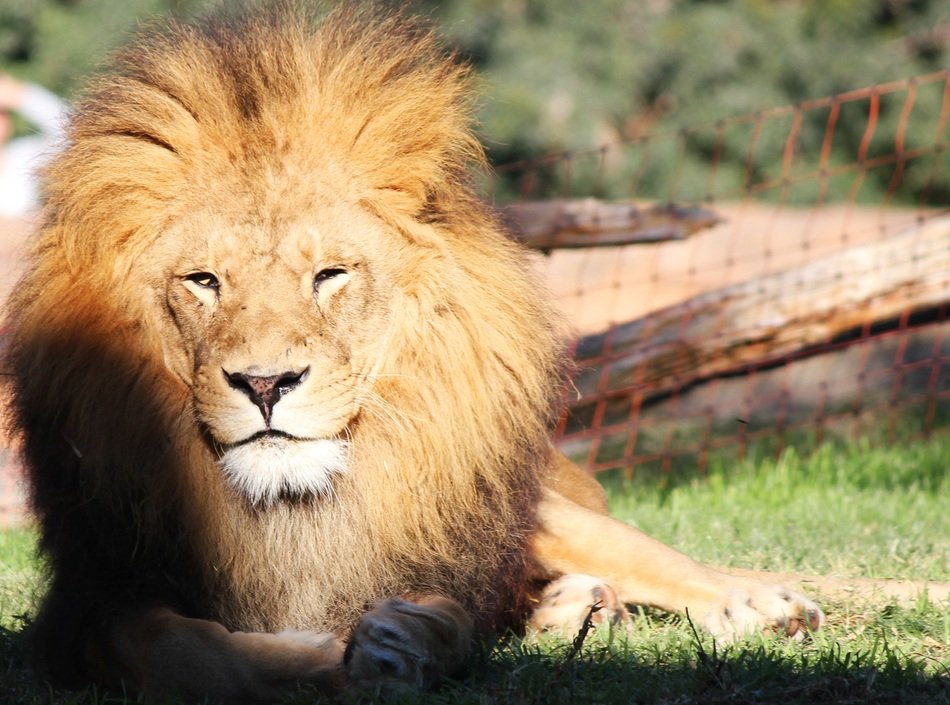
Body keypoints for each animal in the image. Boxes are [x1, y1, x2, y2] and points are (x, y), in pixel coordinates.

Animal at [4, 5, 823, 702]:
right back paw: (575, 607)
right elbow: (187, 654)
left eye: (330, 274)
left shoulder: (440, 557)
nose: (266, 384)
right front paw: (312, 656)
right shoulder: (92, 595)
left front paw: (398, 641)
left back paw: (759, 601)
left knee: (645, 553)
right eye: (203, 281)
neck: (290, 507)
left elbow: (448, 619)